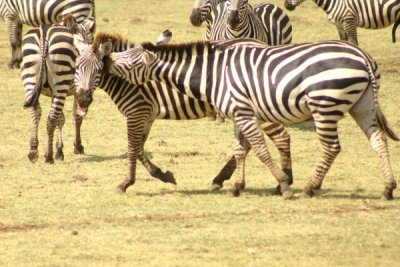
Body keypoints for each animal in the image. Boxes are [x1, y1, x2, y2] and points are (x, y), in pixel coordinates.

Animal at [21, 15, 93, 164]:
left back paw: (33, 151)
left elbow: (61, 119)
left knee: (36, 112)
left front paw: (59, 150)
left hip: (31, 78)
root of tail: (44, 33)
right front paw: (77, 146)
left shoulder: (55, 93)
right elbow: (76, 117)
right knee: (51, 120)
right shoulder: (77, 89)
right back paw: (48, 156)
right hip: (61, 80)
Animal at [73, 32, 292, 194]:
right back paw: (222, 179)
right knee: (248, 145)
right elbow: (139, 148)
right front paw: (162, 174)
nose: (82, 100)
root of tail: (260, 43)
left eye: (98, 70)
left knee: (281, 137)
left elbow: (132, 149)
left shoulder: (137, 111)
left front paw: (125, 183)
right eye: (76, 68)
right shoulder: (146, 116)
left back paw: (283, 183)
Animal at [89, 38, 400, 201]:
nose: (107, 60)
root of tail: (362, 54)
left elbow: (260, 150)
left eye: (133, 61)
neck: (213, 73)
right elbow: (240, 150)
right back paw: (387, 188)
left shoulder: (243, 111)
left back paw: (309, 188)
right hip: (362, 105)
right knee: (378, 140)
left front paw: (284, 185)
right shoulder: (239, 112)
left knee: (331, 147)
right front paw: (236, 186)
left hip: (325, 103)